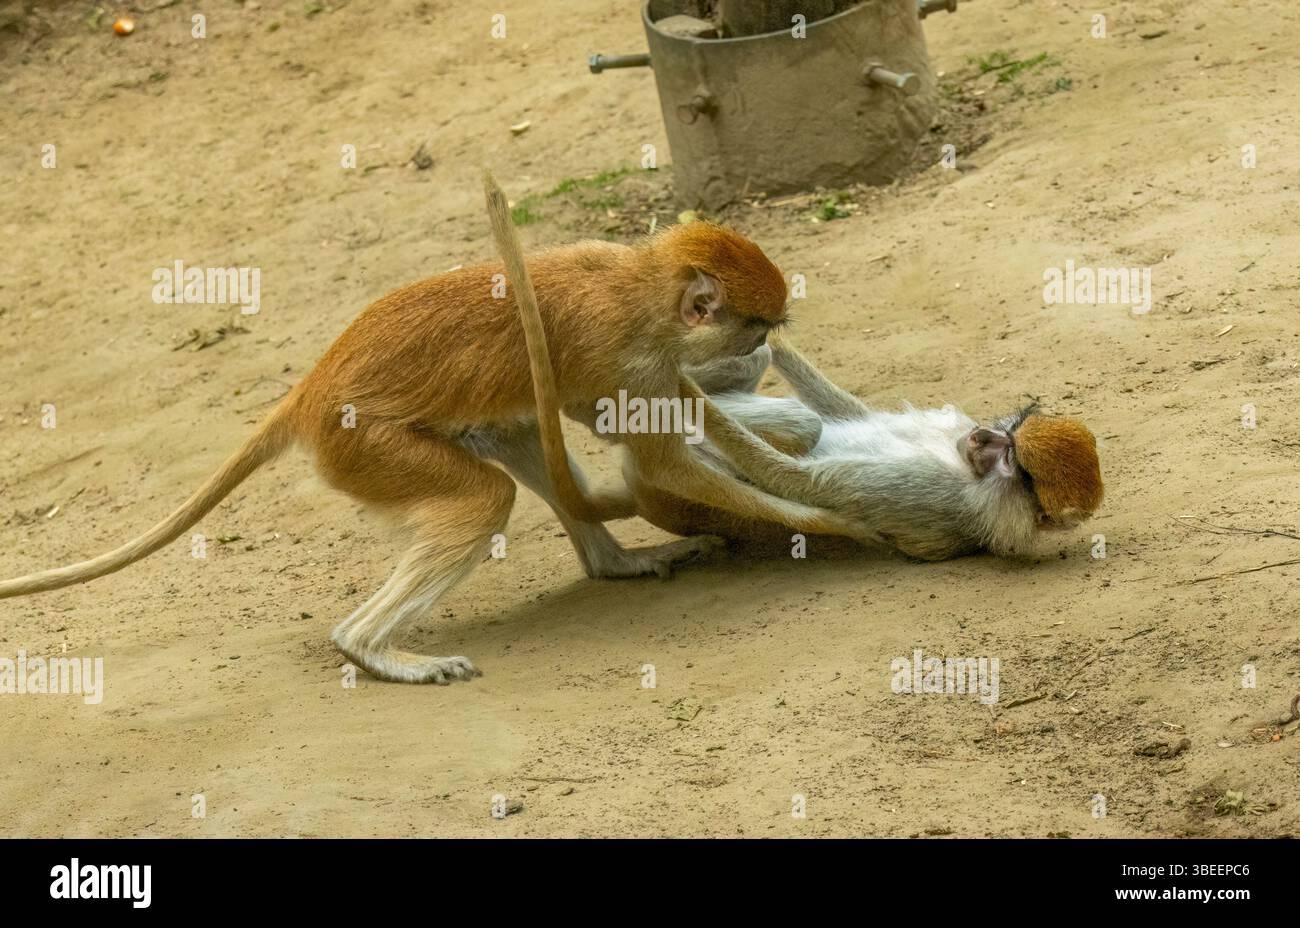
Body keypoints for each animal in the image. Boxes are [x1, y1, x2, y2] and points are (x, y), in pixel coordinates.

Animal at [0, 174, 854, 685]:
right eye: (755, 327)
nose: (762, 347)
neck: (639, 282)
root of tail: (311, 388)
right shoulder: (626, 355)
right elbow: (661, 455)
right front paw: (833, 519)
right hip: (363, 447)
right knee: (480, 501)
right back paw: (374, 650)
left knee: (515, 439)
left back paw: (613, 563)